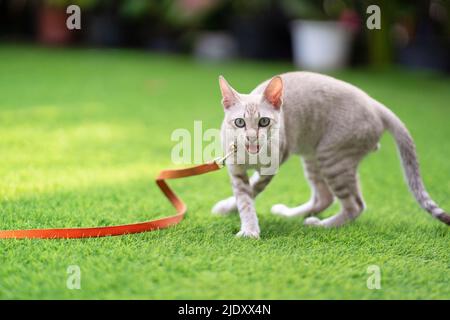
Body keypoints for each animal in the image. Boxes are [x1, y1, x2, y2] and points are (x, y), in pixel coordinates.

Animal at [212, 72, 450, 238]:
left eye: (264, 122)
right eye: (239, 122)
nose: (251, 138)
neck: (251, 156)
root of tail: (374, 103)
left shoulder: (271, 168)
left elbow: (251, 192)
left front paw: (249, 229)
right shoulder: (235, 169)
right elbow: (244, 198)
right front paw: (244, 222)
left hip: (332, 156)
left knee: (355, 205)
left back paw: (320, 225)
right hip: (314, 156)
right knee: (325, 197)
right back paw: (290, 214)